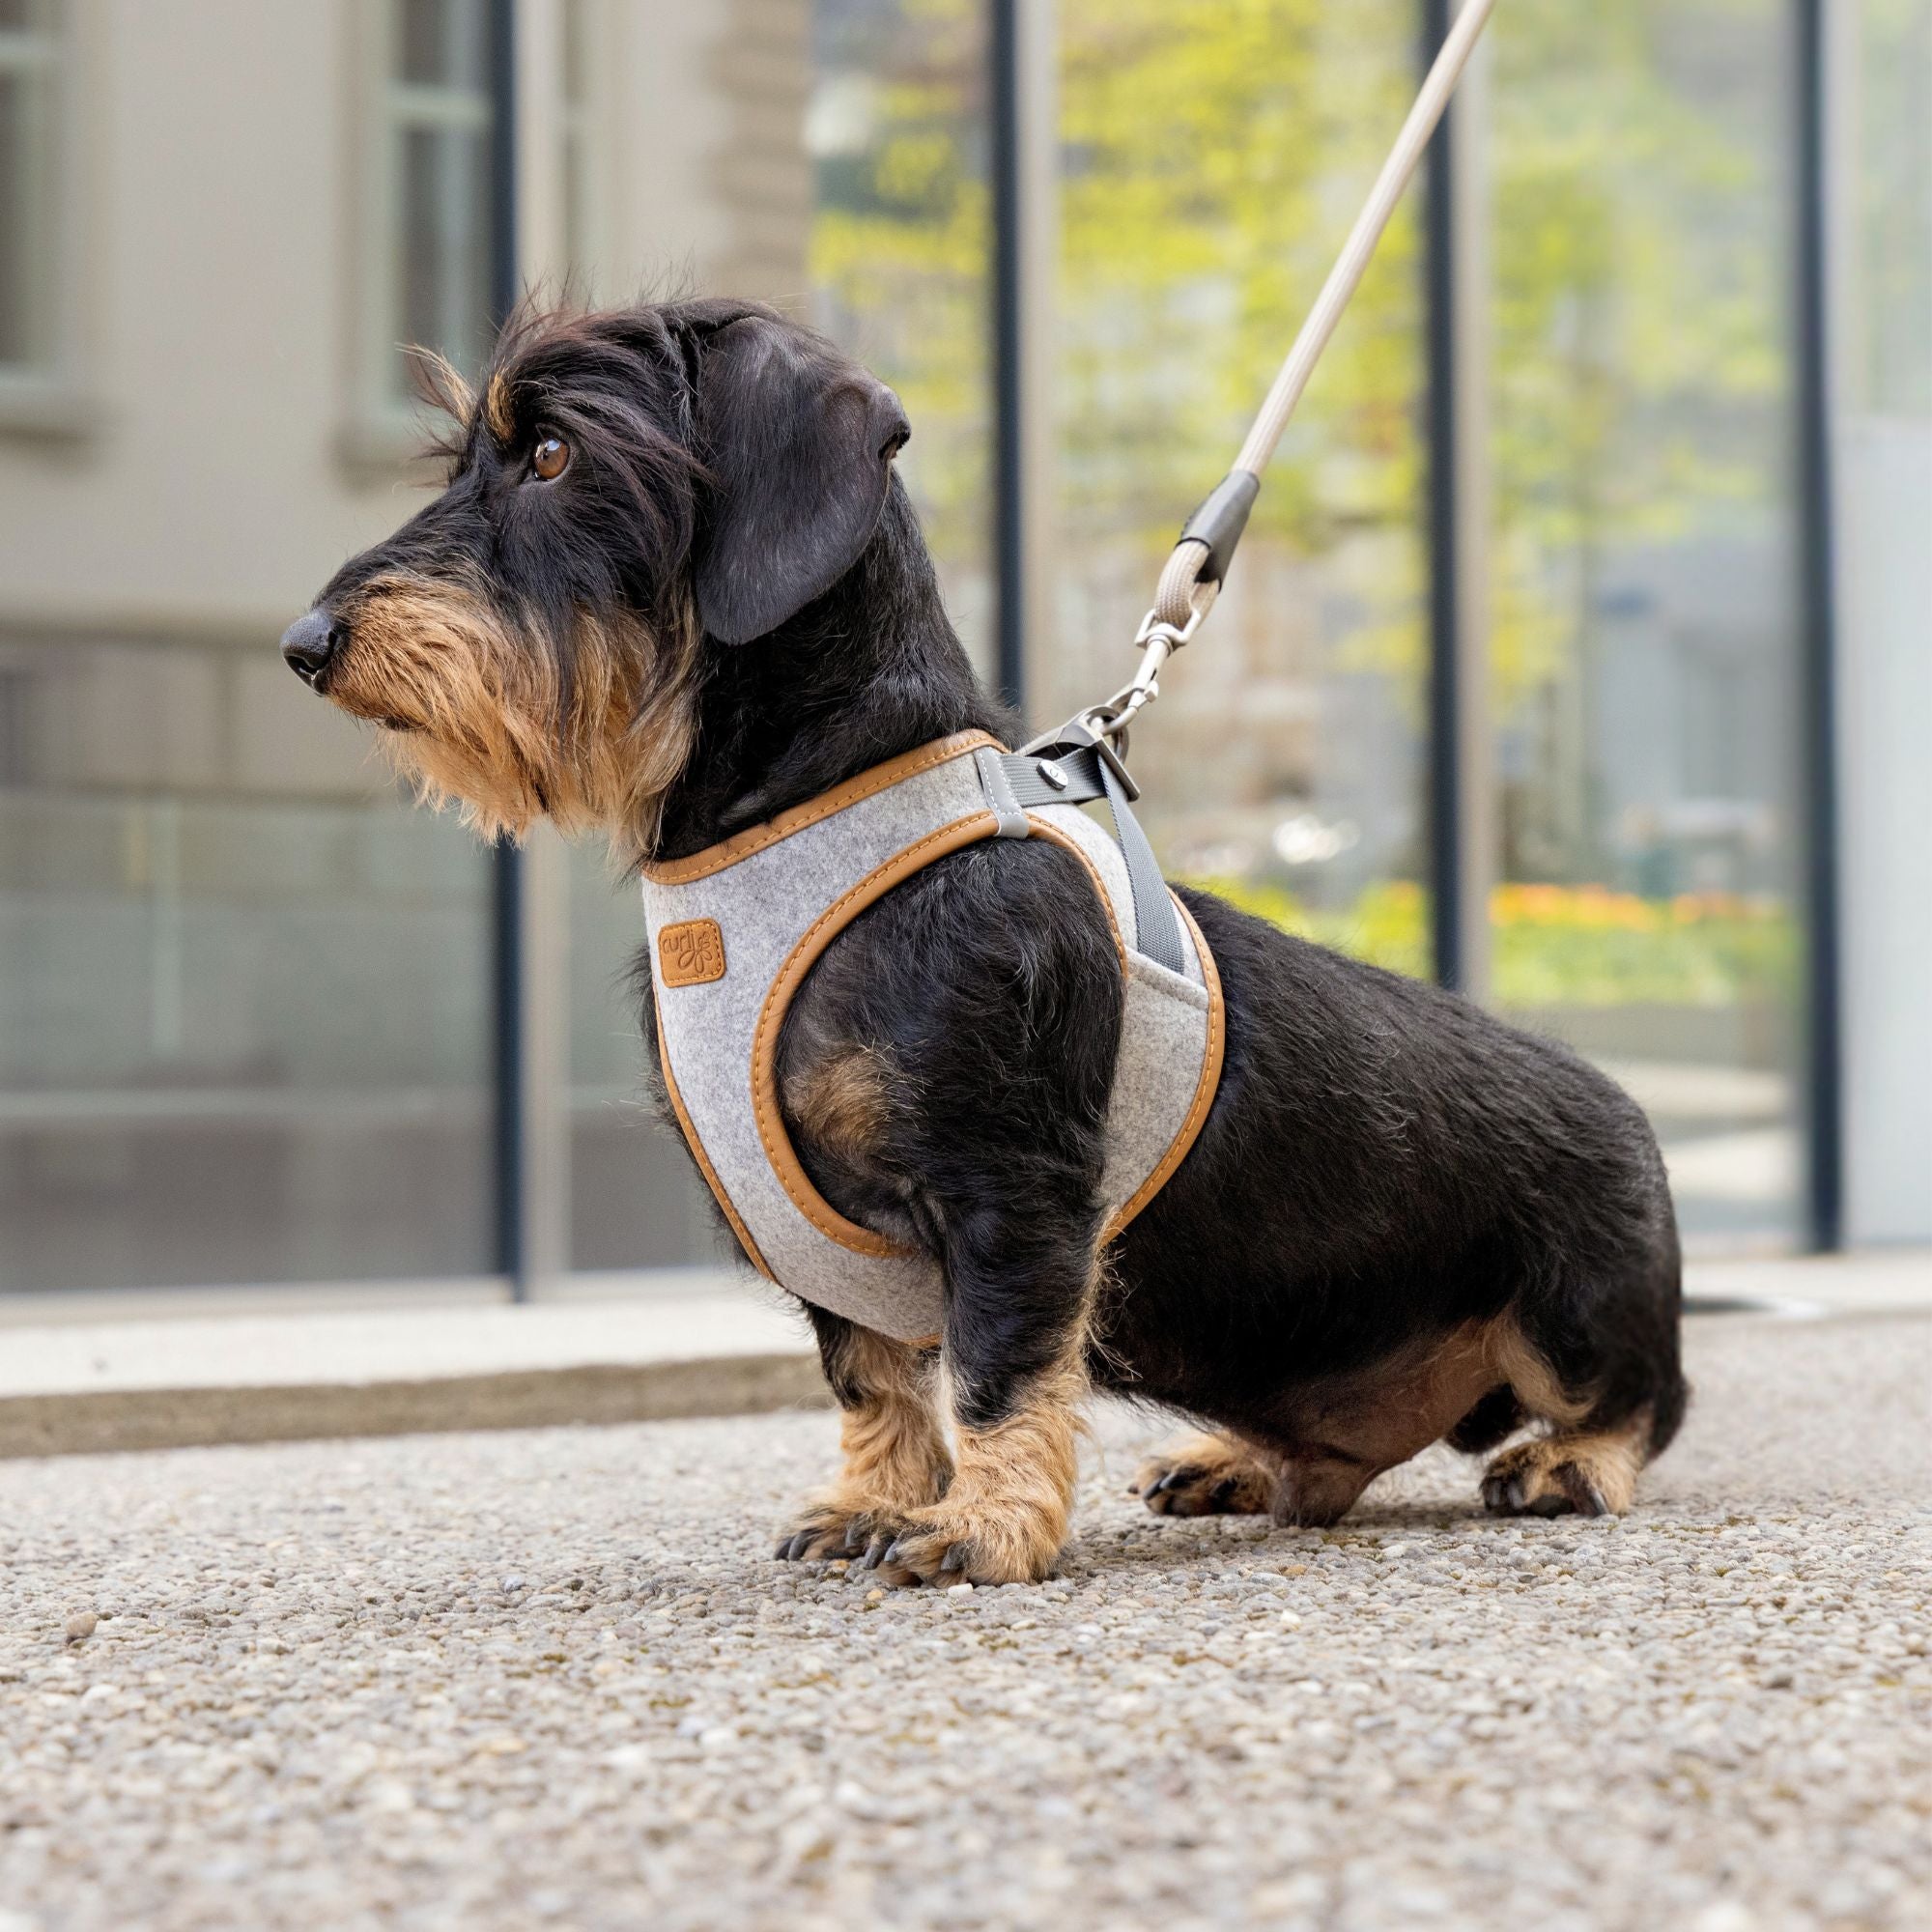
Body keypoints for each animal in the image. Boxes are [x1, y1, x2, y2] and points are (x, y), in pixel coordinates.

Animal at [280, 294, 1685, 1577]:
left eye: (554, 453)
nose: (306, 645)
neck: (803, 827)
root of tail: (1628, 1111)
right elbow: (874, 1380)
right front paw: (878, 1503)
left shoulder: (1011, 1191)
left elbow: (1001, 1369)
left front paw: (984, 1528)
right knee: (1337, 1464)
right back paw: (1237, 1460)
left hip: (1578, 1311)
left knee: (1646, 1403)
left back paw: (1565, 1461)